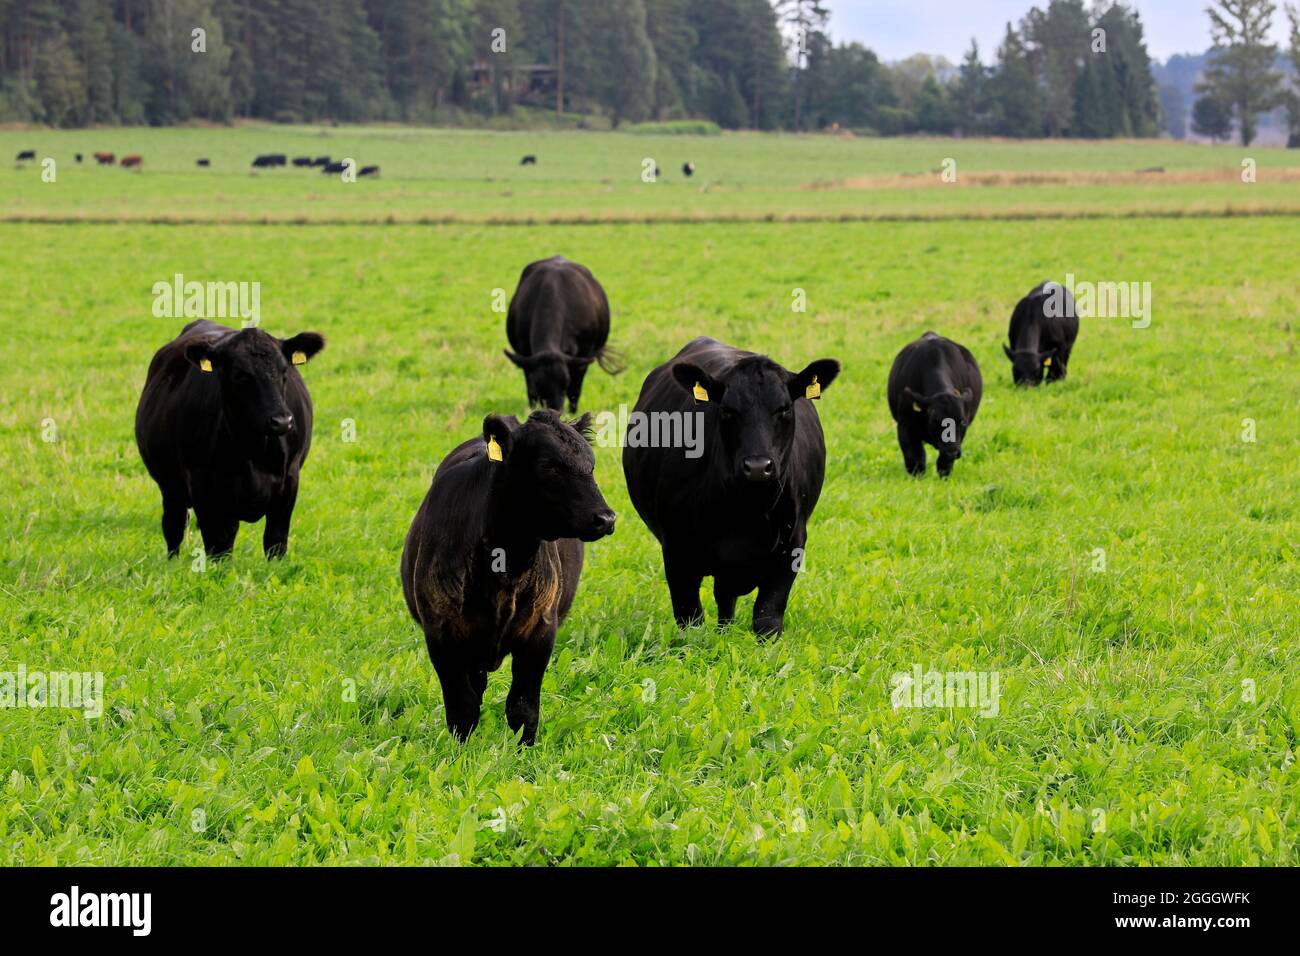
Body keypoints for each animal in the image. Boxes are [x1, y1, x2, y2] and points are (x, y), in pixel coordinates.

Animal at [133, 321, 325, 561]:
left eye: (284, 371)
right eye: (241, 374)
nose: (282, 421)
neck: (252, 449)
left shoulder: (289, 481)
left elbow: (275, 541)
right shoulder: (204, 486)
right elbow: (219, 545)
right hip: (170, 485)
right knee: (174, 527)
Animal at [397, 408, 616, 743]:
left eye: (590, 465)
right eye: (548, 466)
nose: (605, 518)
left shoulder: (541, 630)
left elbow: (523, 707)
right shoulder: (441, 632)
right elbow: (462, 707)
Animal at [501, 254, 618, 411]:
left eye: (565, 384)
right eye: (537, 384)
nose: (555, 411)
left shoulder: (583, 357)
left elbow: (575, 391)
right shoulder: (525, 357)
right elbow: (530, 393)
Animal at [621, 335, 842, 634]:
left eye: (784, 408)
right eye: (727, 410)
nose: (758, 467)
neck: (745, 511)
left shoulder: (791, 549)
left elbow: (767, 619)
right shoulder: (677, 551)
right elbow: (691, 621)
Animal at [889, 332, 977, 478]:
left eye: (962, 422)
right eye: (934, 421)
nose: (952, 452)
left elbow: (944, 463)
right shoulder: (905, 425)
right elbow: (915, 457)